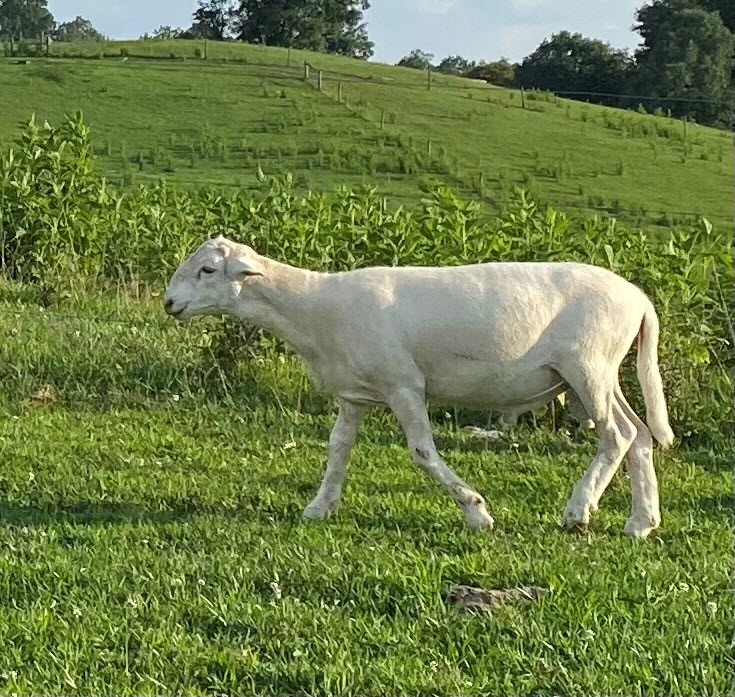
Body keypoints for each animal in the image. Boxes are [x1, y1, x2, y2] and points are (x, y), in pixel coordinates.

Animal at [164, 235, 674, 538]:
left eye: (207, 270)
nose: (168, 302)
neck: (314, 310)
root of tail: (640, 299)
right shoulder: (355, 393)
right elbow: (337, 449)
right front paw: (319, 505)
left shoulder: (403, 384)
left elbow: (422, 452)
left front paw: (476, 510)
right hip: (601, 371)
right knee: (640, 434)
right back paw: (641, 521)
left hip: (588, 366)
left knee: (617, 436)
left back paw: (578, 510)